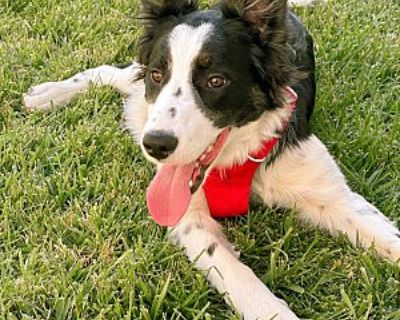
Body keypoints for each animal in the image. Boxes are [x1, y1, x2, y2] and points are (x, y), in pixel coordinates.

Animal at [22, 0, 400, 318]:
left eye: (216, 80)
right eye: (158, 75)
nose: (155, 145)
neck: (235, 159)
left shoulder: (335, 197)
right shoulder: (191, 220)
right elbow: (240, 278)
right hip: (135, 89)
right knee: (113, 73)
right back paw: (49, 94)